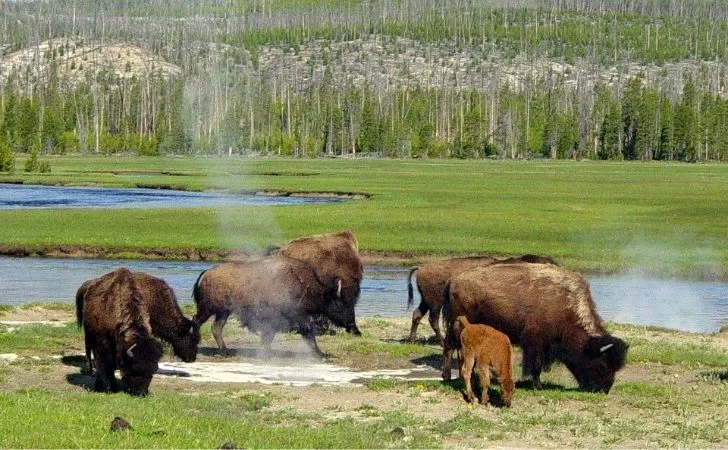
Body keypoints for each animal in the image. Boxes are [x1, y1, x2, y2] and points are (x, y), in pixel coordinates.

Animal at [192, 255, 354, 356]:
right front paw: (320, 354)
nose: (351, 323)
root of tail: (207, 273)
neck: (301, 282)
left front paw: (267, 352)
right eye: (339, 303)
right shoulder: (297, 316)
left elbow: (269, 336)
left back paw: (225, 352)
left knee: (216, 328)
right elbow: (308, 333)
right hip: (208, 309)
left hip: (224, 312)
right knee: (197, 321)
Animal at [404, 253, 556, 344]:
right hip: (435, 302)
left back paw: (412, 340)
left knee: (417, 314)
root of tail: (421, 268)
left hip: (427, 301)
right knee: (432, 319)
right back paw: (440, 342)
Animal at [440, 262, 628, 392]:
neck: (565, 307)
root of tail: (454, 280)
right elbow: (535, 365)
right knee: (450, 347)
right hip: (457, 325)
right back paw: (448, 376)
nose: (604, 389)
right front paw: (537, 385)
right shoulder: (535, 342)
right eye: (603, 364)